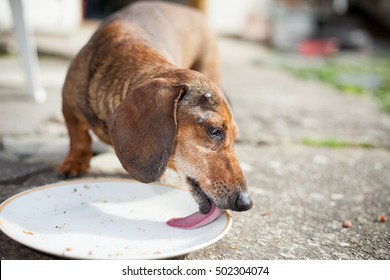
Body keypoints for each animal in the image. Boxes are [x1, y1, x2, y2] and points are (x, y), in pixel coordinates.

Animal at [58, 1, 253, 214]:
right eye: (214, 130)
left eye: (235, 136)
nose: (246, 202)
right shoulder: (68, 106)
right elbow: (79, 138)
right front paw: (75, 162)